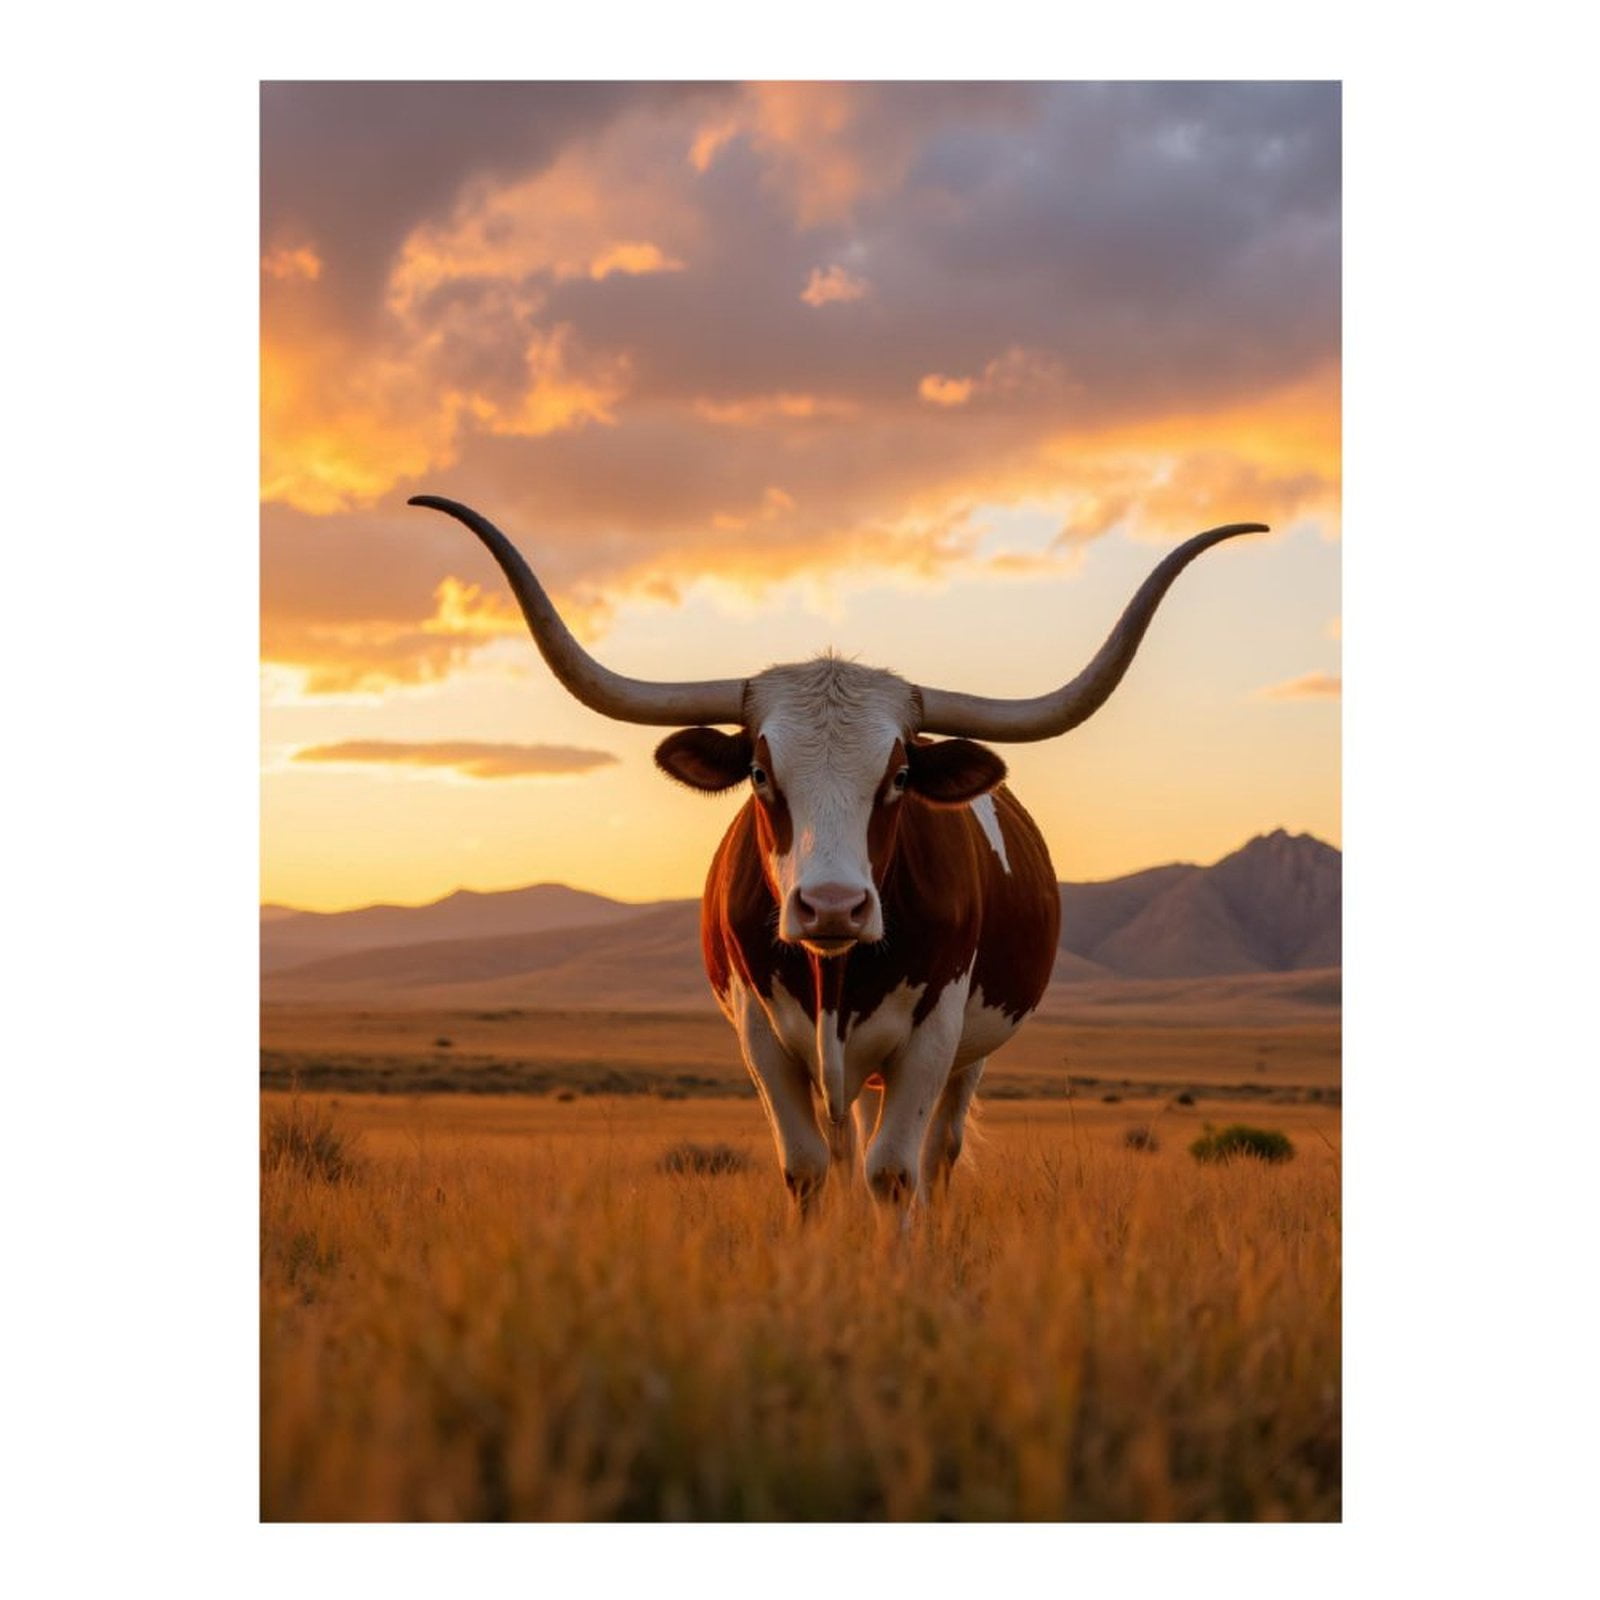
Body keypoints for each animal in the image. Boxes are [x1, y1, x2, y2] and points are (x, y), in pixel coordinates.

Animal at [409, 495, 1264, 1213]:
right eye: (760, 773)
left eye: (900, 776)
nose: (832, 907)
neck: (835, 976)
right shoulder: (761, 1038)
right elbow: (810, 1166)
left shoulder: (934, 1035)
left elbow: (896, 1171)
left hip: (970, 1054)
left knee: (940, 1149)